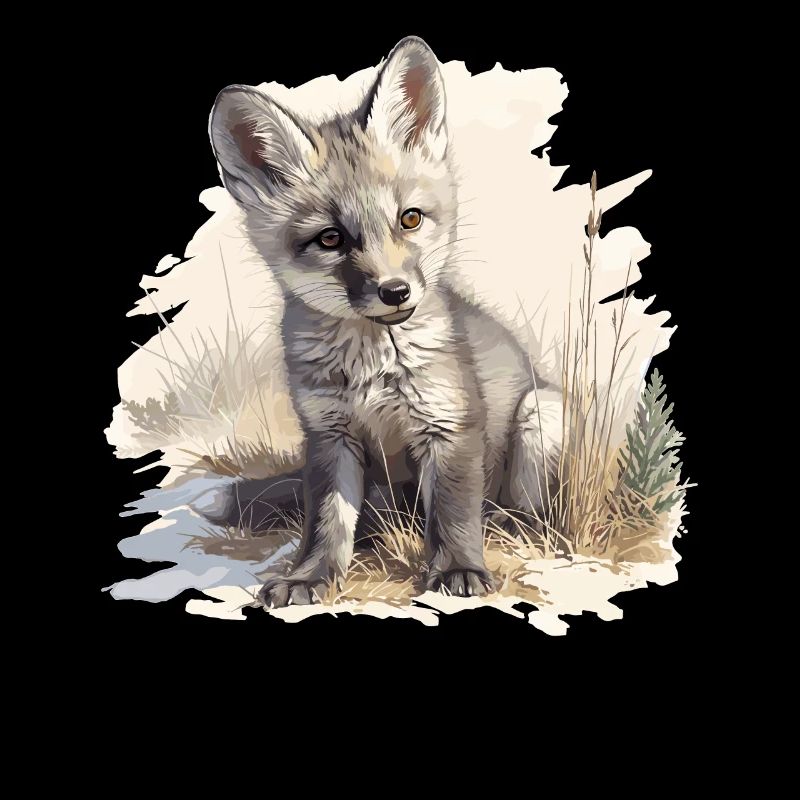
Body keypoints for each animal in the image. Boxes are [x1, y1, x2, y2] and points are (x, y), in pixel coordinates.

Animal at [207, 36, 562, 607]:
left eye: (409, 219)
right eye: (330, 238)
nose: (395, 291)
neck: (371, 369)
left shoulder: (451, 426)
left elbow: (454, 515)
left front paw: (459, 569)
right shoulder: (329, 436)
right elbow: (326, 524)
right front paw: (310, 577)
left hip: (541, 415)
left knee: (523, 512)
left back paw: (514, 528)